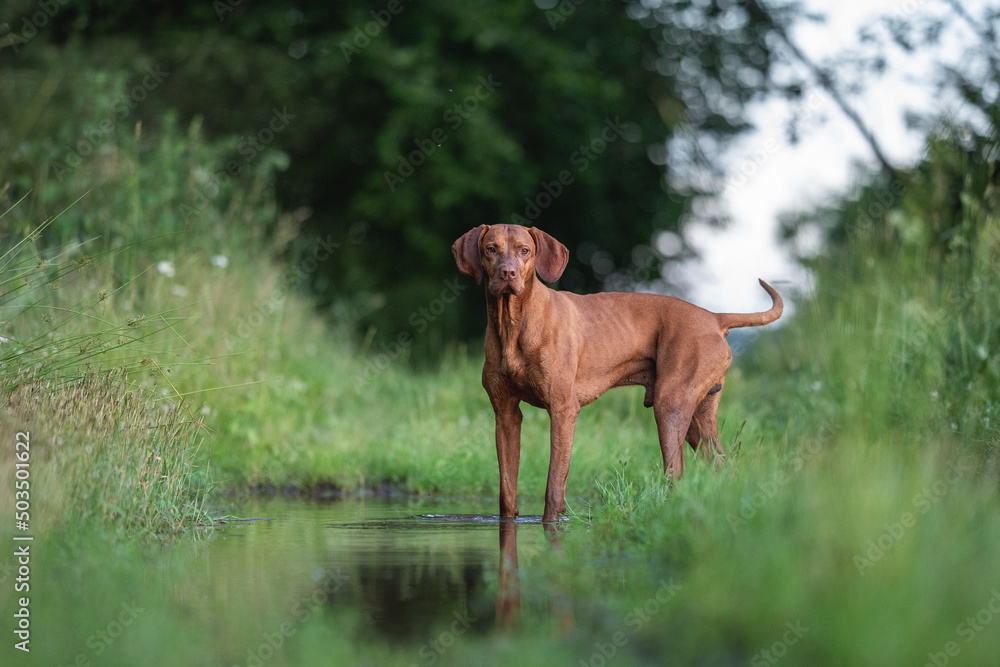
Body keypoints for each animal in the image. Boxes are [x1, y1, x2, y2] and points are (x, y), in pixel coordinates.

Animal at [450, 224, 784, 520]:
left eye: (524, 251)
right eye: (491, 249)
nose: (508, 273)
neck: (513, 323)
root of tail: (714, 317)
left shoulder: (563, 410)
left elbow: (554, 485)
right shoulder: (506, 414)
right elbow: (507, 491)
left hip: (670, 406)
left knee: (677, 472)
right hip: (697, 421)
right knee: (723, 467)